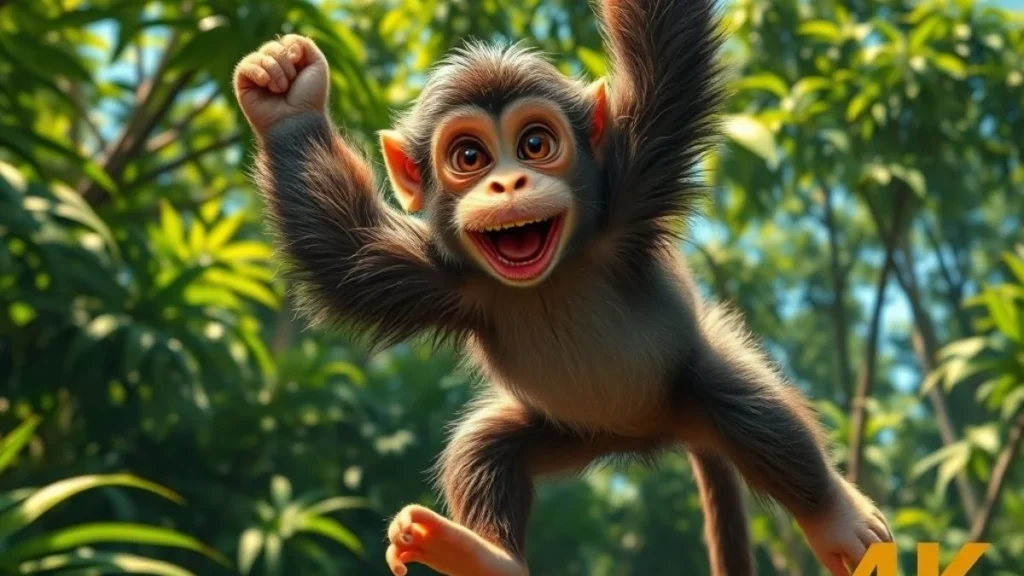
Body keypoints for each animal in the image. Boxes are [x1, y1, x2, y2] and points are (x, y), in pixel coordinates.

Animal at [233, 0, 893, 575]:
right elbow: (344, 250)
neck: (552, 275)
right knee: (484, 448)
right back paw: (484, 557)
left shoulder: (631, 190)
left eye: (535, 144)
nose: (508, 183)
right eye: (468, 156)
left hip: (685, 387)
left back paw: (834, 518)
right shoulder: (438, 277)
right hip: (566, 431)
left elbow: (666, 54)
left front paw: (286, 87)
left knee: (749, 408)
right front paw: (284, 95)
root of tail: (647, 435)